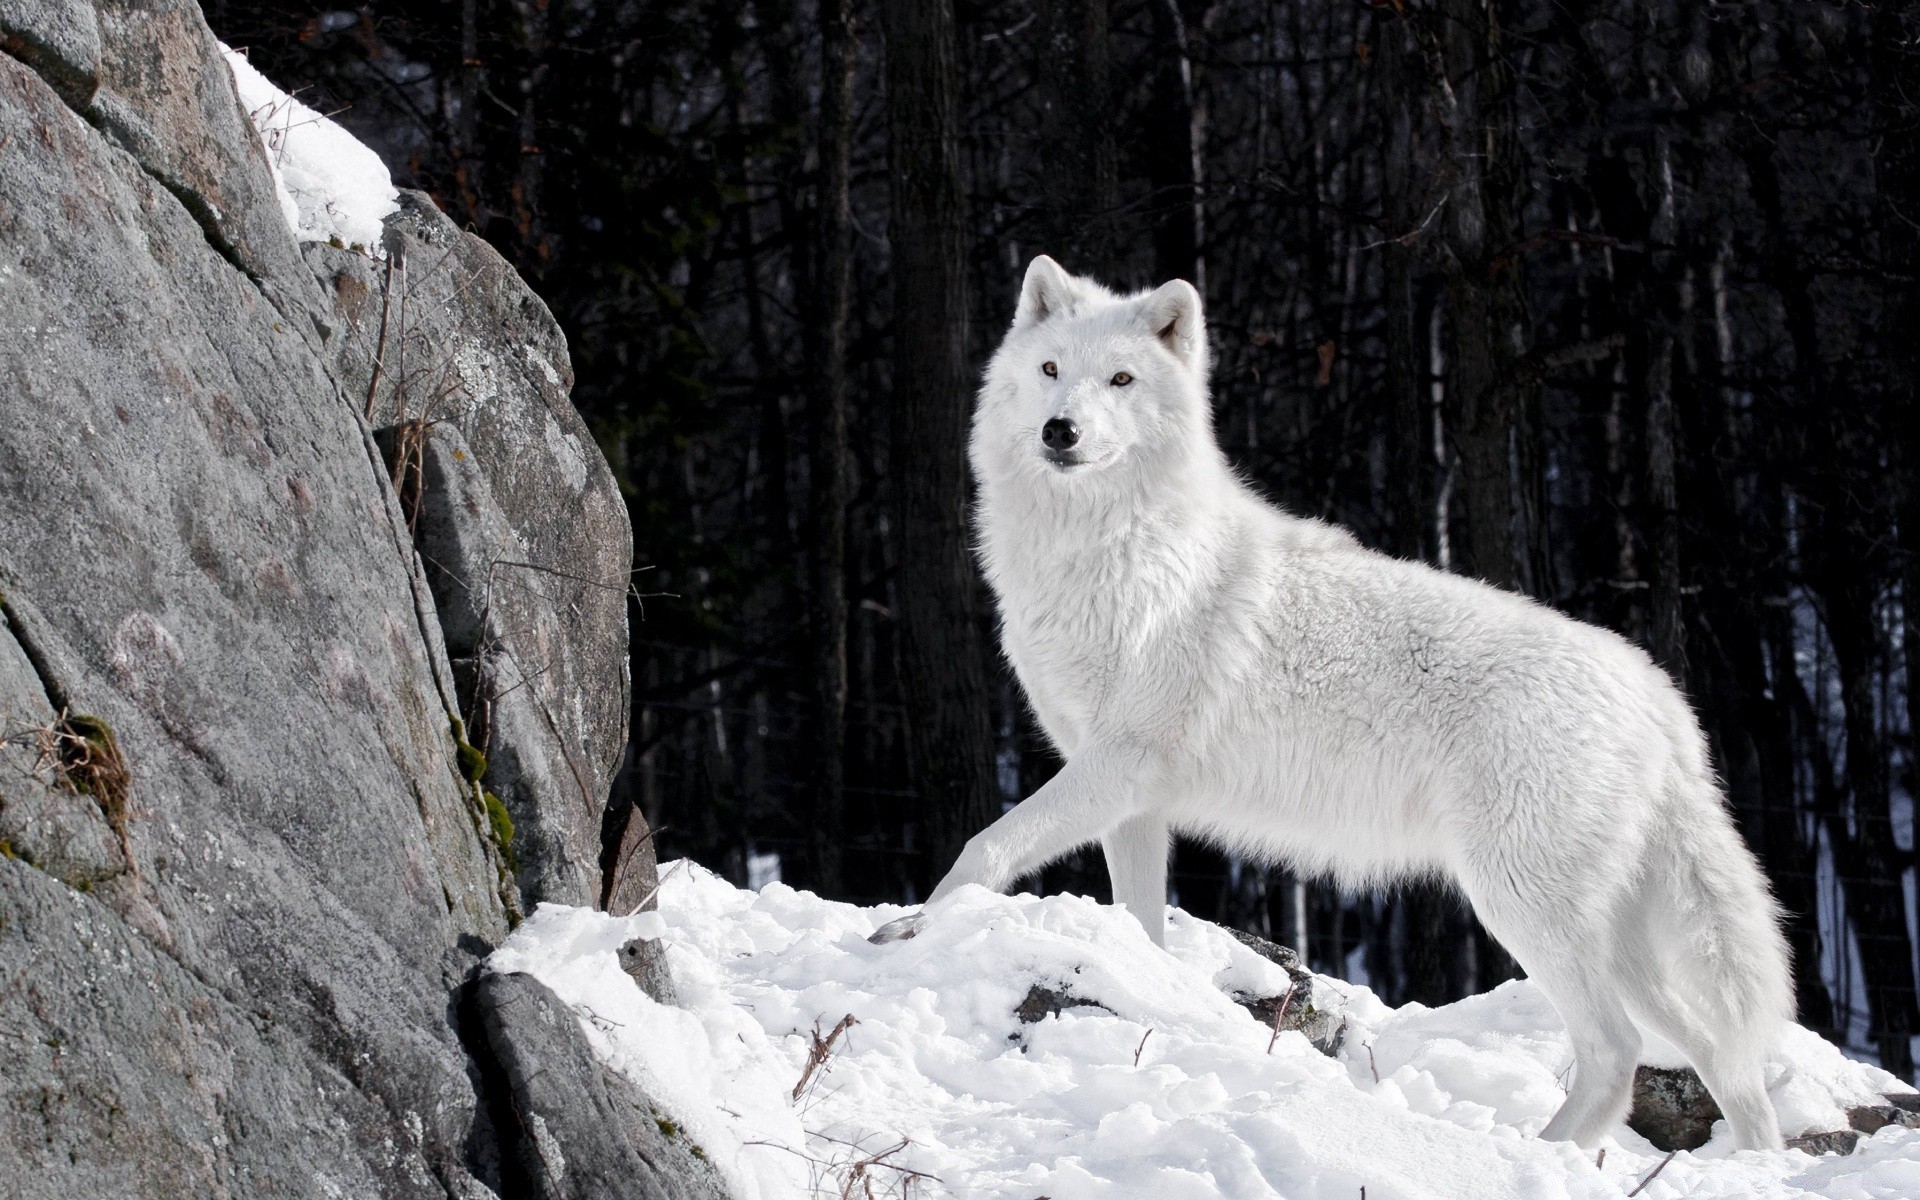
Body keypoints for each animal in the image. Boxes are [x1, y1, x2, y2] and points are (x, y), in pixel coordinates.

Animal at [890, 255, 1789, 1152]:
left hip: (1521, 904)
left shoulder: (1118, 765)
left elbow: (983, 848)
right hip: (1613, 939)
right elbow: (1139, 924)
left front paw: (906, 932)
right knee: (1720, 1055)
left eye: (1121, 379)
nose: (1061, 431)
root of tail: (1658, 693)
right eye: (1050, 371)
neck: (1107, 551)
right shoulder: (1130, 800)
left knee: (1616, 1052)